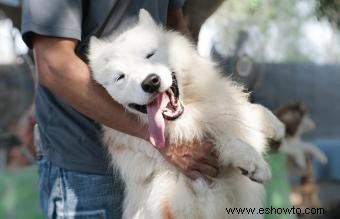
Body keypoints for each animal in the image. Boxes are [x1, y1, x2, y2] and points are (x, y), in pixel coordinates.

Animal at [88, 9, 284, 219]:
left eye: (150, 54)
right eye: (120, 77)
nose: (150, 82)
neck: (189, 118)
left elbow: (245, 111)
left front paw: (275, 126)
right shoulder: (190, 196)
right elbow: (221, 142)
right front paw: (254, 162)